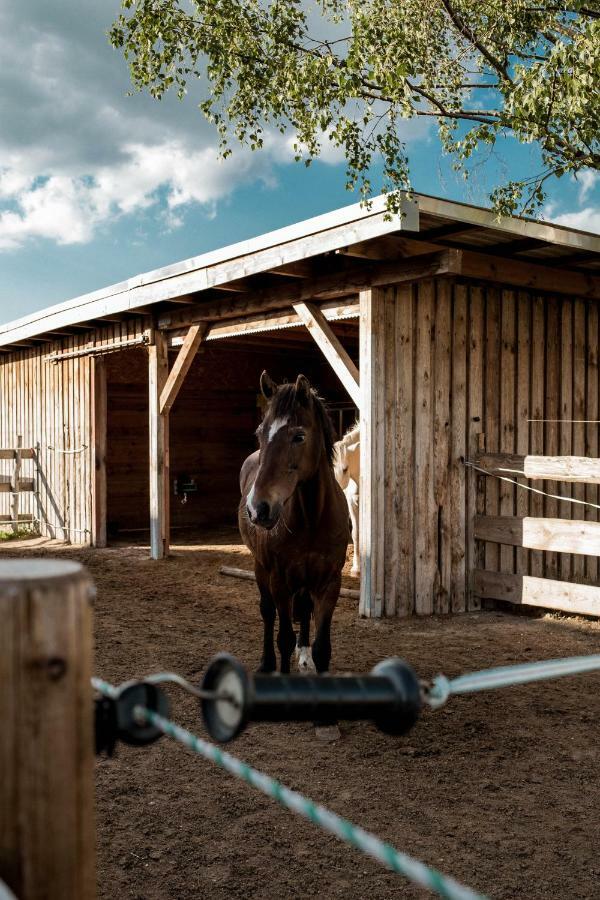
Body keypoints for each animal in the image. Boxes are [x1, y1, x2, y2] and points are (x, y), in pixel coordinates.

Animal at [238, 370, 350, 676]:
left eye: (298, 436)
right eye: (259, 433)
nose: (258, 507)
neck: (313, 519)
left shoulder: (329, 582)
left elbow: (323, 647)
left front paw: (310, 654)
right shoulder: (280, 580)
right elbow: (284, 638)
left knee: (304, 608)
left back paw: (304, 653)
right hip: (261, 568)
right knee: (267, 612)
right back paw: (266, 663)